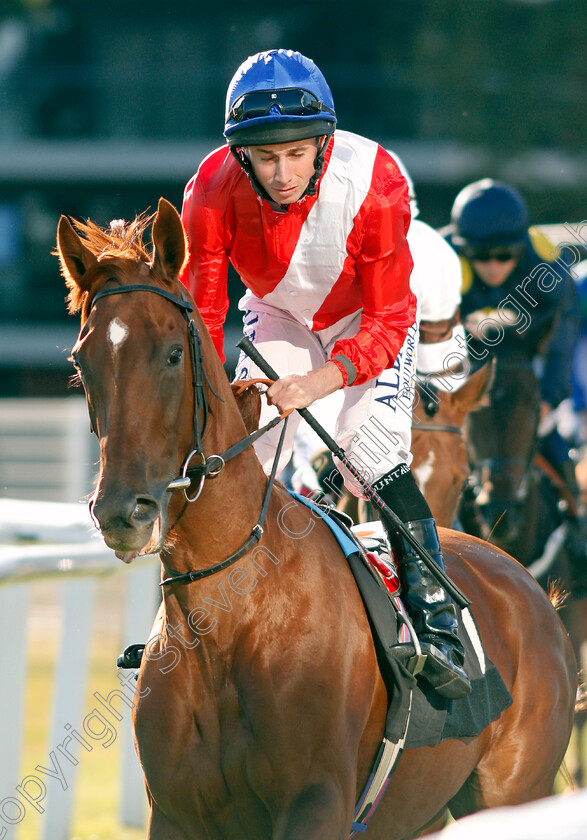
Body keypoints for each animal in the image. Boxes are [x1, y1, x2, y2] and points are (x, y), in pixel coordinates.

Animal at [57, 200, 576, 840]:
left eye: (172, 354)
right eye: (82, 362)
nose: (122, 512)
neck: (231, 615)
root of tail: (529, 588)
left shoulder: (316, 802)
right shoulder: (177, 813)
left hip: (513, 793)